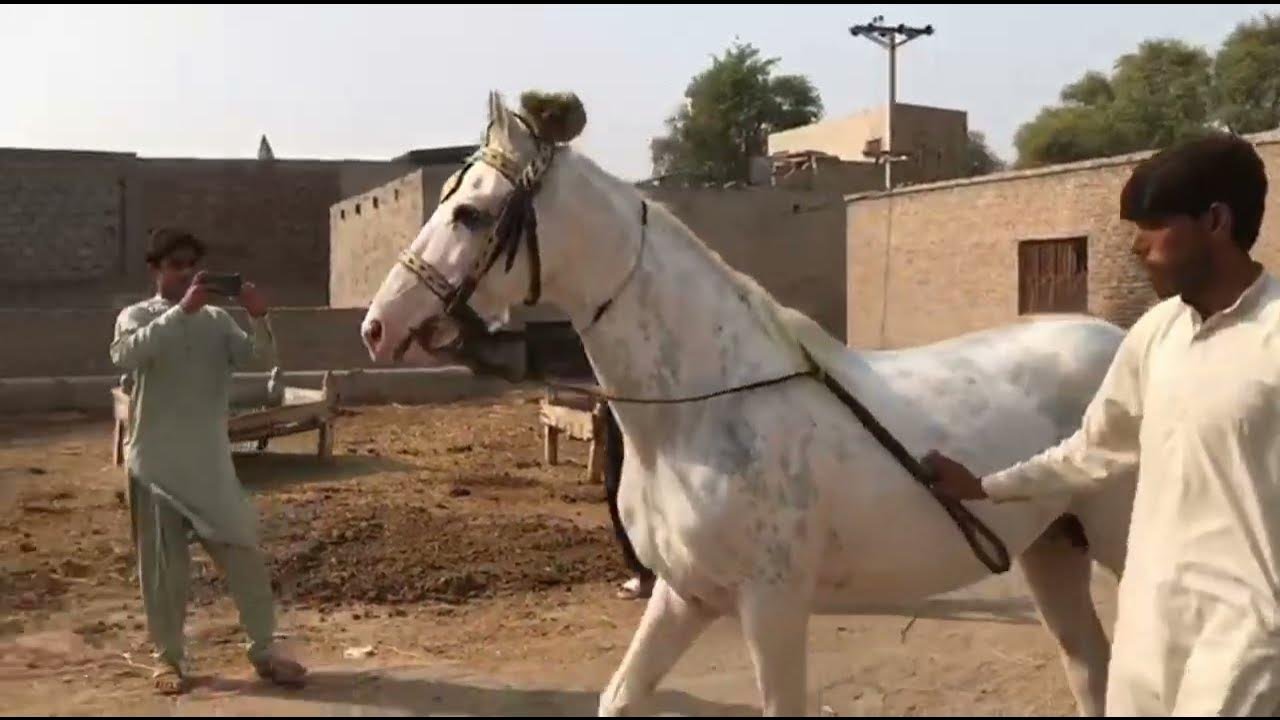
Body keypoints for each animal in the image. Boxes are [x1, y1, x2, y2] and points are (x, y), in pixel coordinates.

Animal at [359, 90, 1136, 716]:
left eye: (470, 212)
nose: (377, 326)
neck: (701, 412)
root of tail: (1126, 342)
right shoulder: (682, 596)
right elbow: (619, 697)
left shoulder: (773, 607)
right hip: (1051, 551)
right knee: (1090, 667)